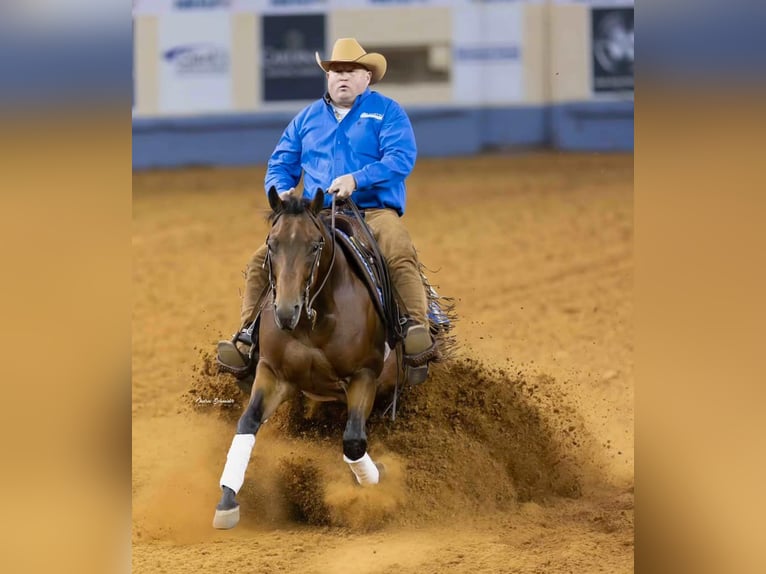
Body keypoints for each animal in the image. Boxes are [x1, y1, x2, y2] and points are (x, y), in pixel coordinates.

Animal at [212, 187, 450, 529]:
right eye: (272, 244)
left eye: (314, 246)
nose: (286, 312)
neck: (313, 321)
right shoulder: (274, 374)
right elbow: (247, 422)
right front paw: (227, 502)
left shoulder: (364, 375)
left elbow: (353, 441)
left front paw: (379, 476)